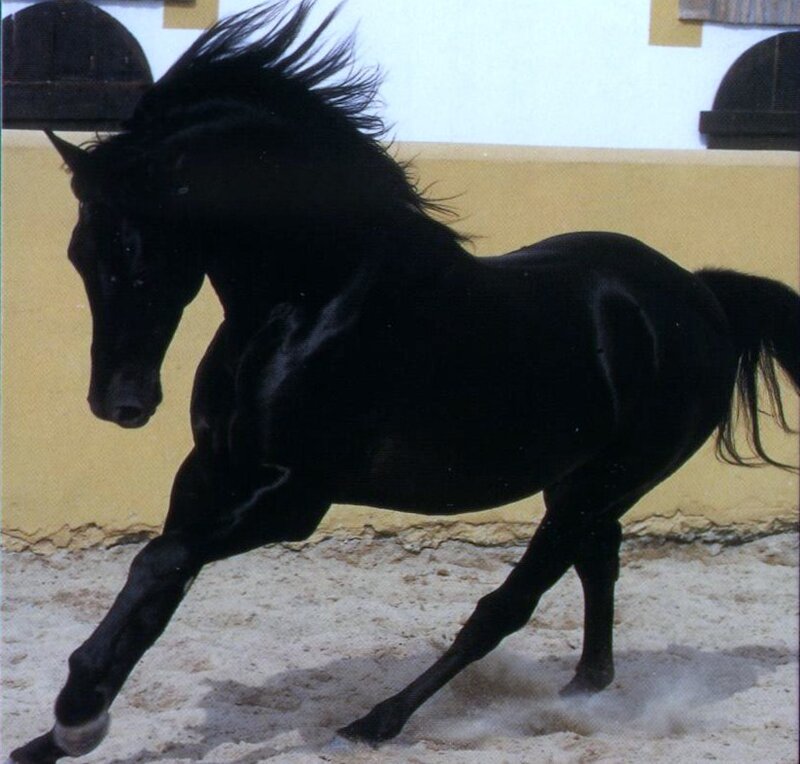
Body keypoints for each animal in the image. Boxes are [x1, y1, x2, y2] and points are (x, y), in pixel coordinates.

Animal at [9, 3, 799, 761]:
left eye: (140, 255)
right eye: (80, 253)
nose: (120, 403)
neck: (312, 299)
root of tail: (703, 296)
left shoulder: (296, 495)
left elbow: (160, 562)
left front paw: (77, 715)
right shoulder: (213, 467)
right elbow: (159, 581)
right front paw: (57, 735)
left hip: (609, 480)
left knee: (506, 606)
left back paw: (378, 720)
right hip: (579, 482)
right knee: (599, 563)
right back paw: (583, 692)